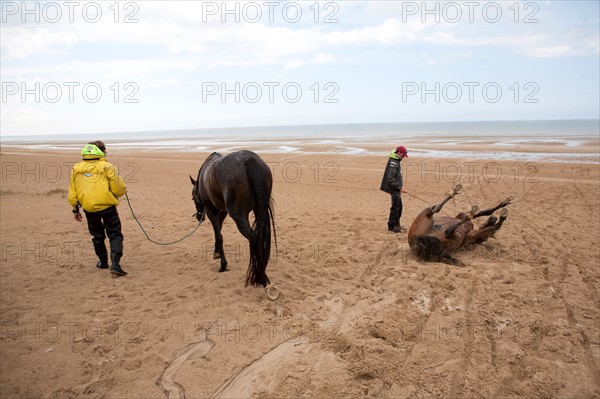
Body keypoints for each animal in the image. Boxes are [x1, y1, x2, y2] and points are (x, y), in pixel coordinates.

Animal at [190, 152, 276, 290]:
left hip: (239, 217)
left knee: (253, 237)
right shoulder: (222, 211)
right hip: (259, 210)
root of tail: (249, 159)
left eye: (193, 197)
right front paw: (216, 252)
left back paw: (260, 276)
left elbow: (219, 236)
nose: (199, 217)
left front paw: (223, 265)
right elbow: (218, 231)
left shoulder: (211, 211)